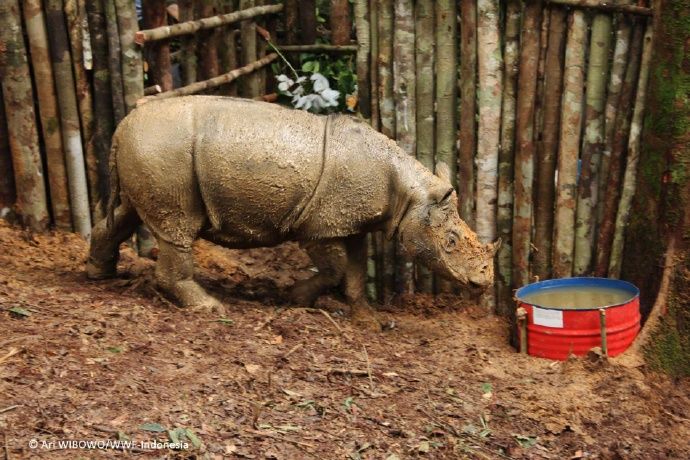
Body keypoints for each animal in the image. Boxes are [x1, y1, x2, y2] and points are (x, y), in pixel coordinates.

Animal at [86, 96, 498, 328]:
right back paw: (209, 307)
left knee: (125, 214)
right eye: (451, 241)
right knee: (176, 228)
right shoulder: (318, 226)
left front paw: (367, 321)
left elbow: (353, 272)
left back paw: (98, 275)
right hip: (164, 152)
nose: (485, 282)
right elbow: (334, 269)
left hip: (150, 153)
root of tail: (122, 127)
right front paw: (295, 299)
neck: (411, 194)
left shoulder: (351, 223)